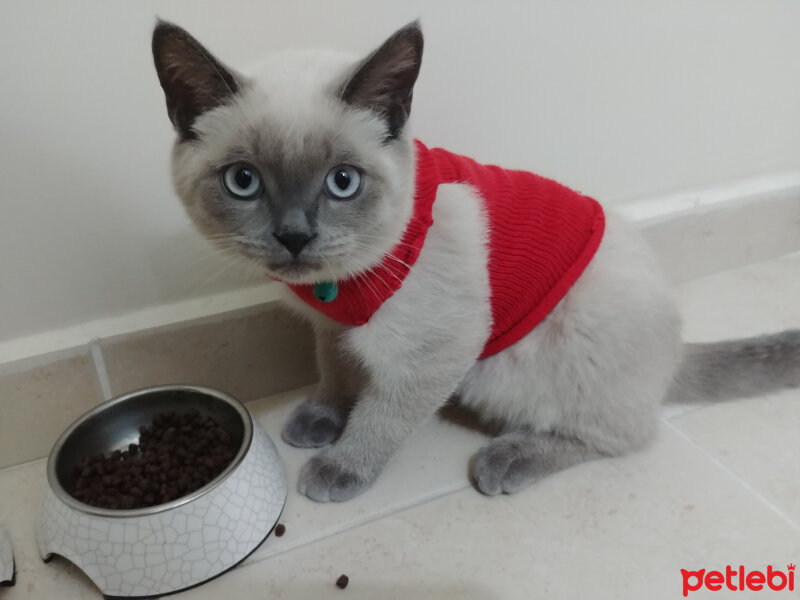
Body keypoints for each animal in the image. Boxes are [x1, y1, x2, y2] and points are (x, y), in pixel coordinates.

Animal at [152, 19, 800, 502]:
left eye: (342, 182)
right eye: (243, 182)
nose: (294, 237)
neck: (339, 284)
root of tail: (676, 352)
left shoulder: (436, 352)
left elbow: (379, 417)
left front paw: (339, 467)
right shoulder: (332, 328)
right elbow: (335, 374)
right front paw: (319, 421)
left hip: (503, 367)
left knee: (623, 434)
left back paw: (506, 460)